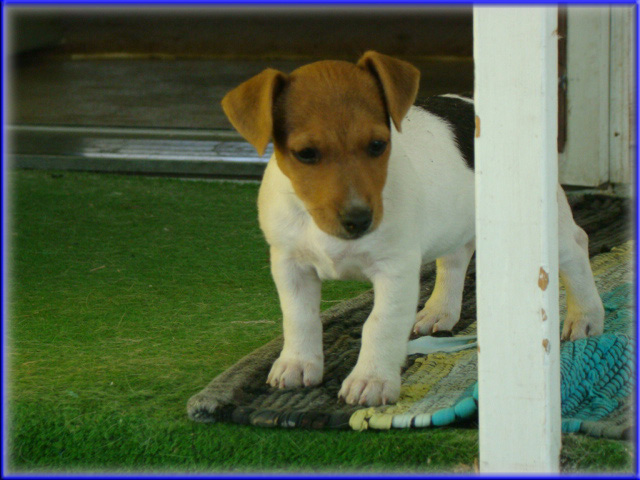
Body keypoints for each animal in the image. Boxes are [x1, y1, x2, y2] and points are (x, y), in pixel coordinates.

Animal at [220, 51, 604, 404]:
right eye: (306, 154)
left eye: (378, 145)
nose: (360, 220)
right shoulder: (289, 264)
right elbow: (299, 317)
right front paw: (298, 363)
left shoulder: (395, 269)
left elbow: (380, 323)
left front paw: (371, 379)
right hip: (454, 220)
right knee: (455, 258)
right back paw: (439, 310)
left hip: (543, 219)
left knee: (576, 246)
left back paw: (585, 315)